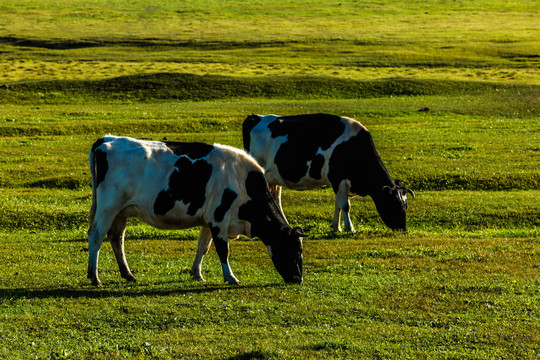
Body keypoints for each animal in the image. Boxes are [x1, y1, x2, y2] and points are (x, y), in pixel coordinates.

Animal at [86, 135, 302, 286]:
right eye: (294, 249)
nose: (298, 279)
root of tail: (107, 139)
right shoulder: (219, 219)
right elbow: (223, 250)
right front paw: (231, 277)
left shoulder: (209, 220)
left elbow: (202, 247)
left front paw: (197, 273)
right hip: (107, 207)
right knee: (96, 236)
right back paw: (94, 277)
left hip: (120, 211)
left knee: (116, 238)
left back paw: (128, 274)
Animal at [240, 113, 414, 233]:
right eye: (393, 204)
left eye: (405, 204)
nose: (403, 228)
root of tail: (256, 117)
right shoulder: (338, 178)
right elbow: (345, 206)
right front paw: (350, 229)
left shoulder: (338, 182)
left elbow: (338, 204)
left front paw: (336, 227)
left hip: (274, 177)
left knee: (275, 198)